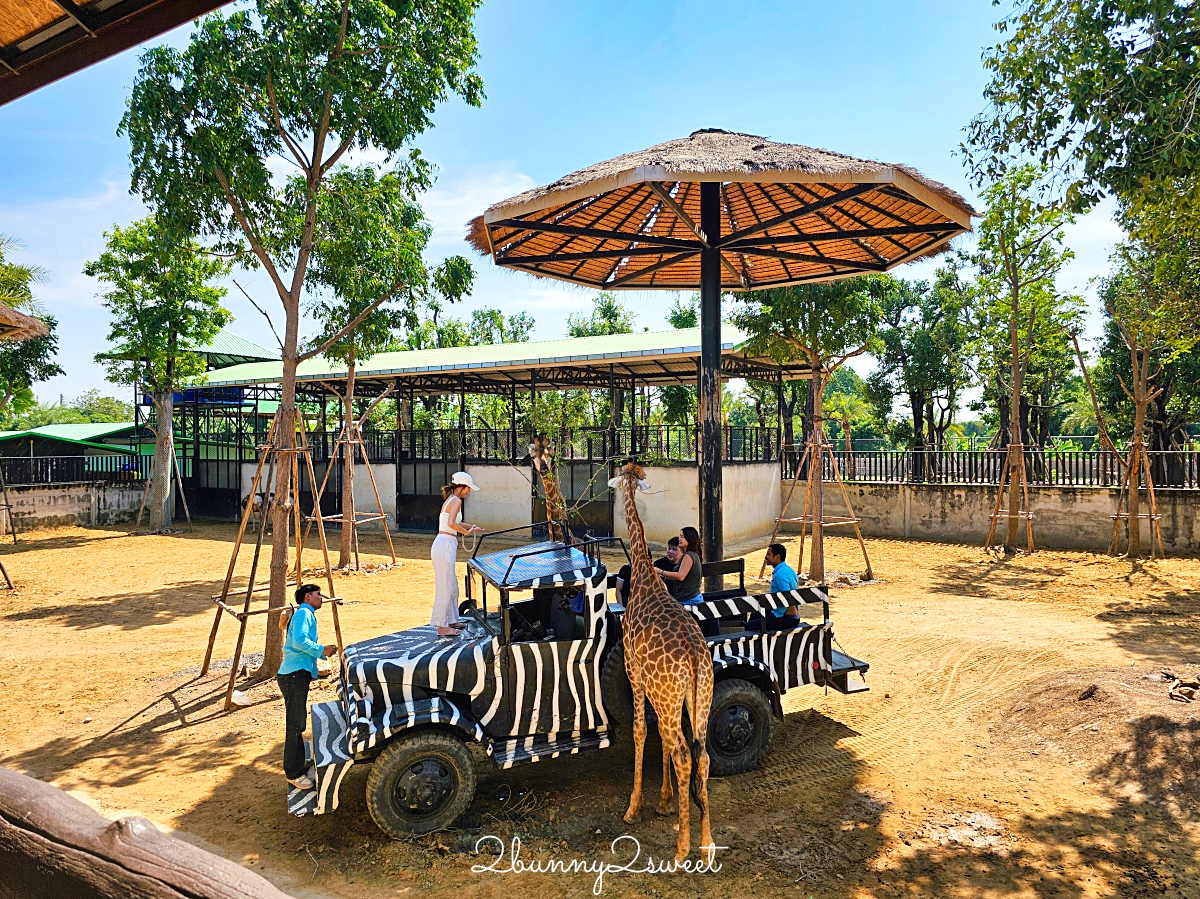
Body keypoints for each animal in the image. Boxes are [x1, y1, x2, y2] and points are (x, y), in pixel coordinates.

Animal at [609, 463, 710, 864]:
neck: (645, 576)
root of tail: (696, 655)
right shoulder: (664, 692)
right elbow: (662, 739)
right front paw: (665, 801)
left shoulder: (634, 671)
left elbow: (640, 730)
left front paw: (633, 808)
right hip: (699, 695)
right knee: (701, 754)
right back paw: (706, 844)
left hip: (668, 692)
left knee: (684, 753)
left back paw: (683, 848)